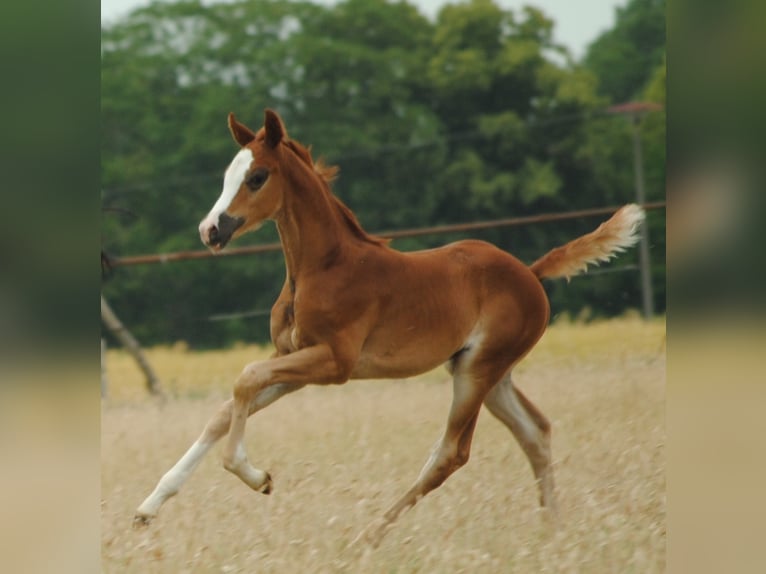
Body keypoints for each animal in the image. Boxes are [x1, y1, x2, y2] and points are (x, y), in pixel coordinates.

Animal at [135, 109, 644, 548]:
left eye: (257, 176)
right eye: (227, 174)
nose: (210, 230)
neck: (322, 267)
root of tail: (532, 274)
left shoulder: (333, 363)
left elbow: (244, 379)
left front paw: (256, 477)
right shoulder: (293, 361)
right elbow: (227, 408)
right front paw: (148, 506)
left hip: (477, 370)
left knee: (450, 454)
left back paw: (368, 535)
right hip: (489, 372)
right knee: (535, 432)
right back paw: (553, 529)